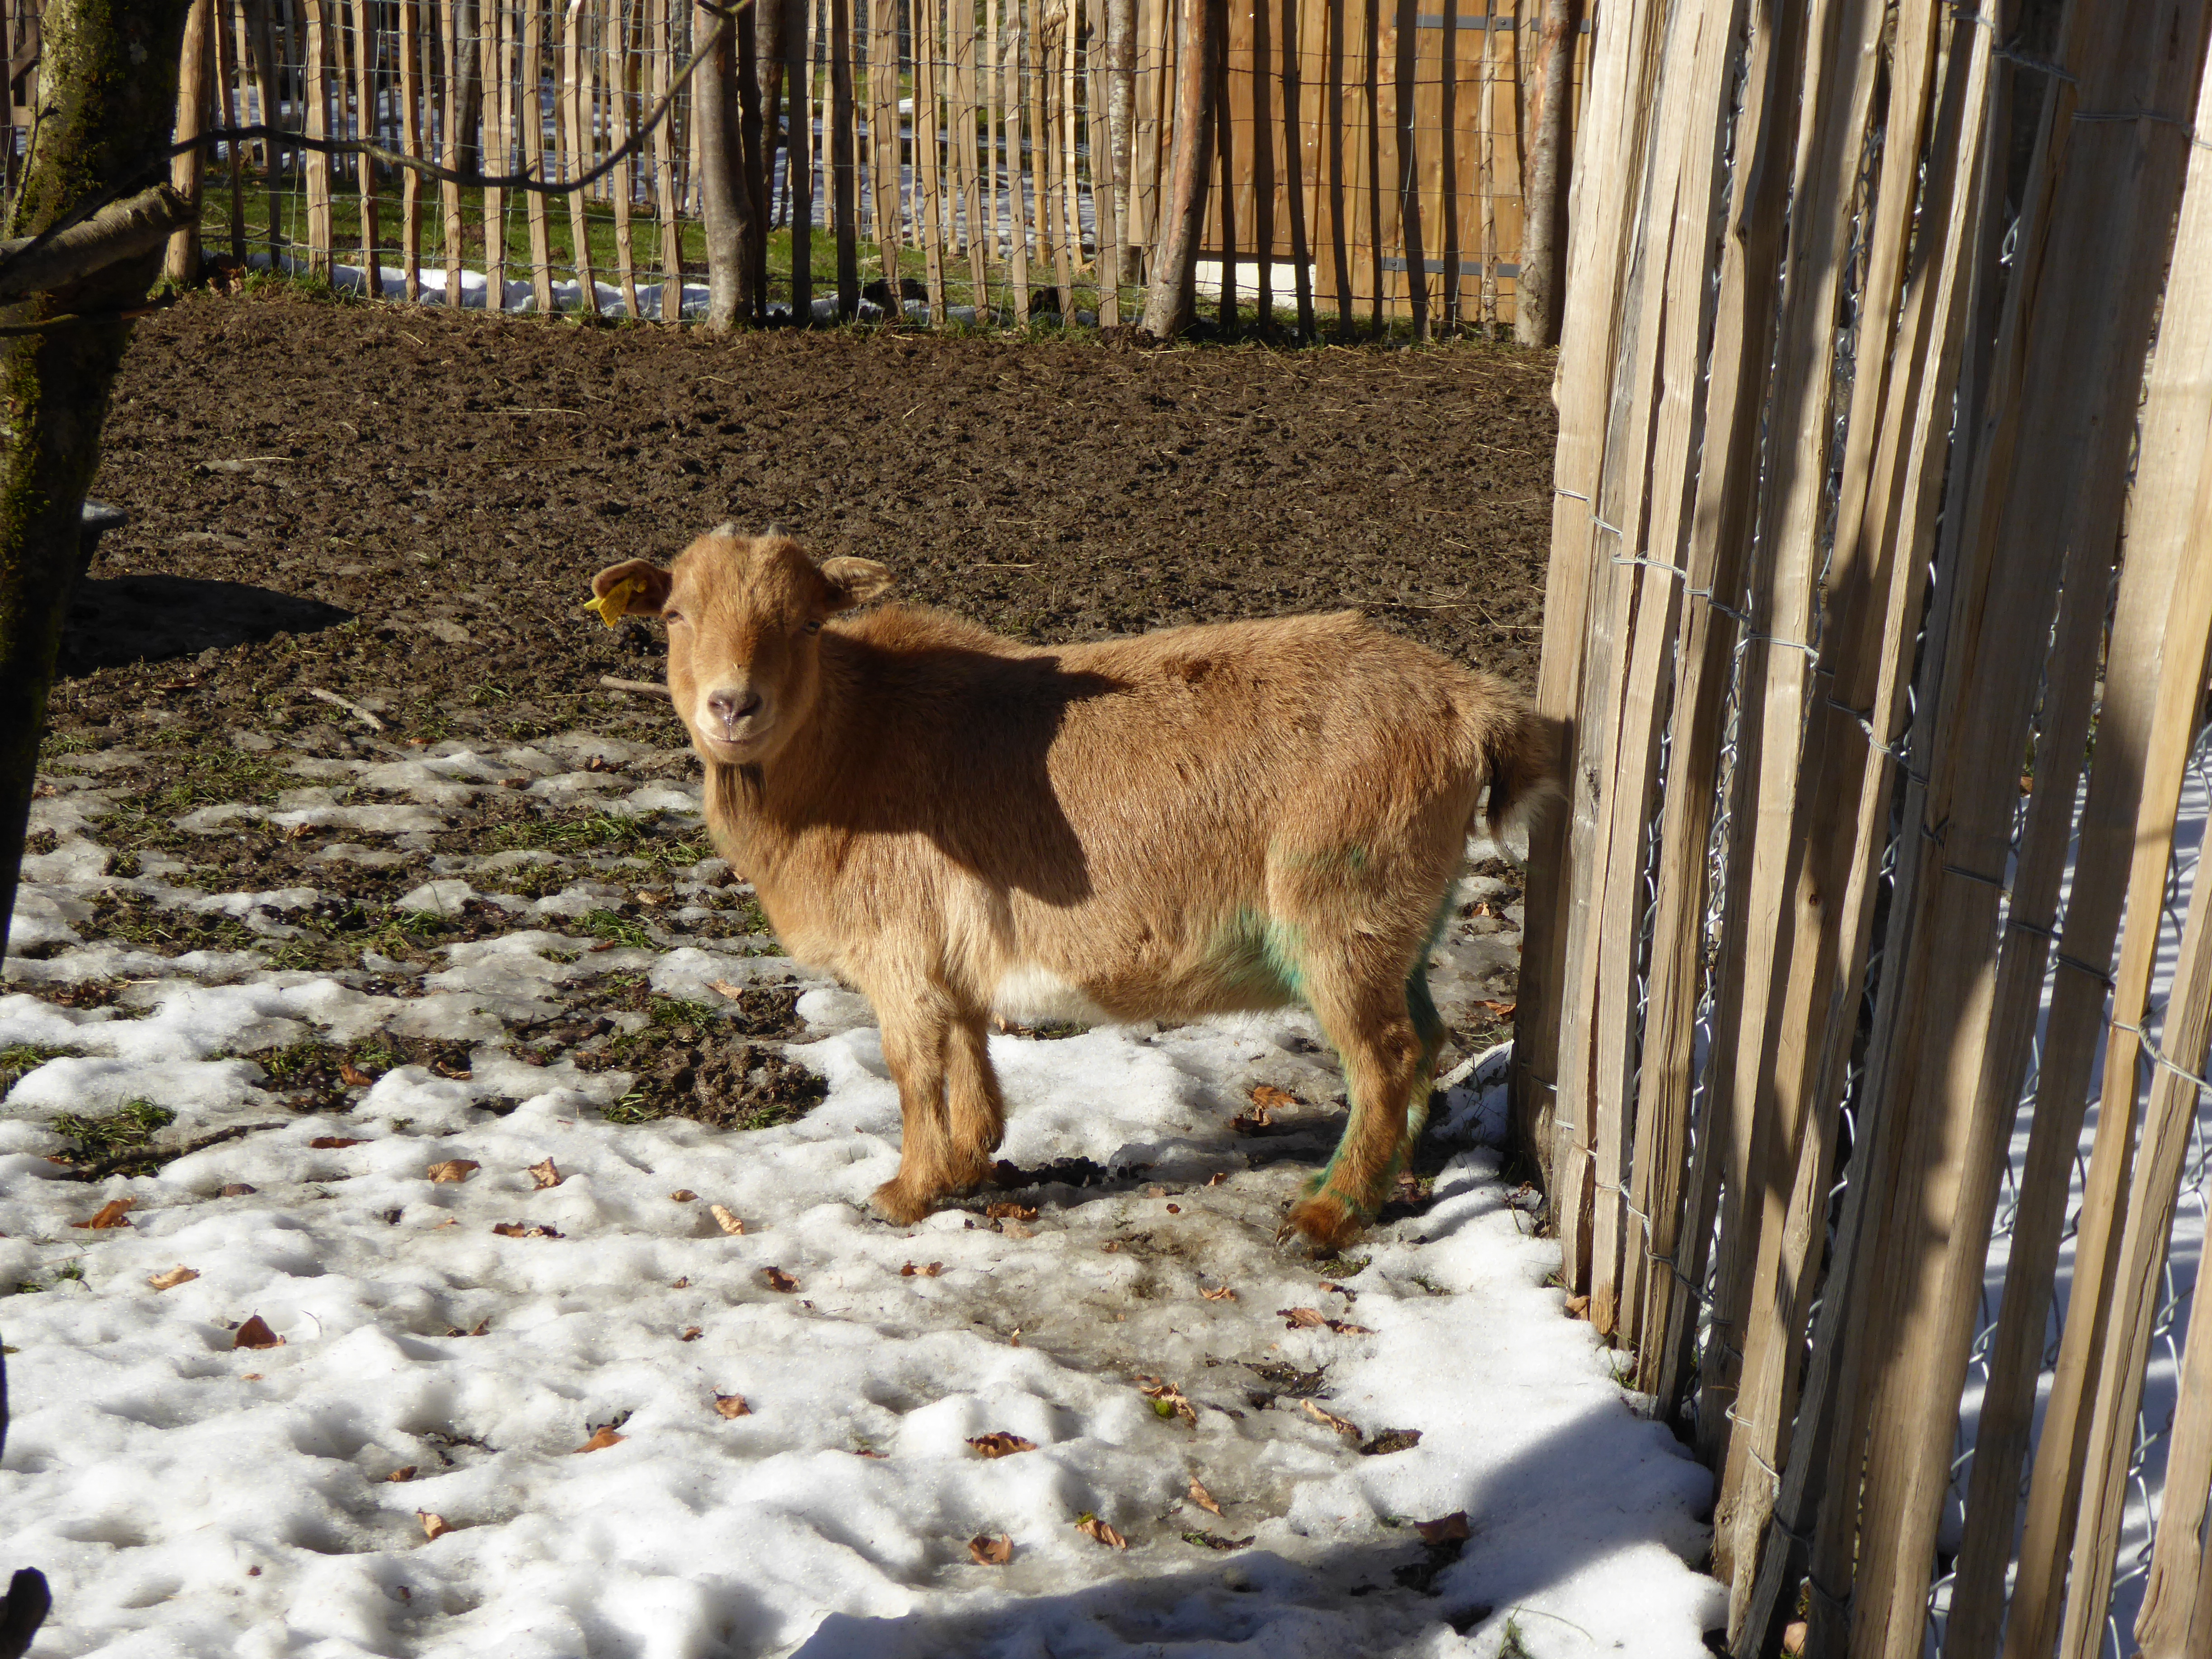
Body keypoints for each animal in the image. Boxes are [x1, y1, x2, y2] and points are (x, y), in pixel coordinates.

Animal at [593, 533, 1557, 1247]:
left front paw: (906, 1191)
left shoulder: (898, 953)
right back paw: (1399, 1174)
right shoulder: (948, 950)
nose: (732, 706)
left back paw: (1328, 1215)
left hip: (1339, 900)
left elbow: (912, 1067)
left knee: (1385, 1052)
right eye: (674, 615)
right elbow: (967, 1048)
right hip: (1403, 913)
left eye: (803, 623)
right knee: (1424, 1036)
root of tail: (1469, 704)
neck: (848, 746)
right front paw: (971, 1161)